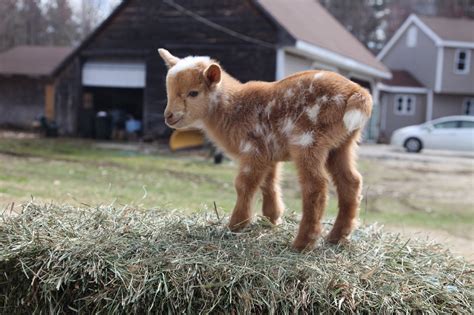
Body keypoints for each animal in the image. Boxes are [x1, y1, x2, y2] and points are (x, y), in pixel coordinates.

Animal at [157, 49, 372, 252]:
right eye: (168, 91)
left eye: (193, 93)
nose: (169, 116)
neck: (232, 108)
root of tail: (357, 93)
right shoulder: (269, 152)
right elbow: (269, 183)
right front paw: (272, 218)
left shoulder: (254, 149)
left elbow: (244, 184)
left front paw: (237, 225)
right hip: (342, 144)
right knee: (351, 182)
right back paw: (337, 237)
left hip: (308, 139)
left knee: (315, 186)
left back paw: (303, 243)